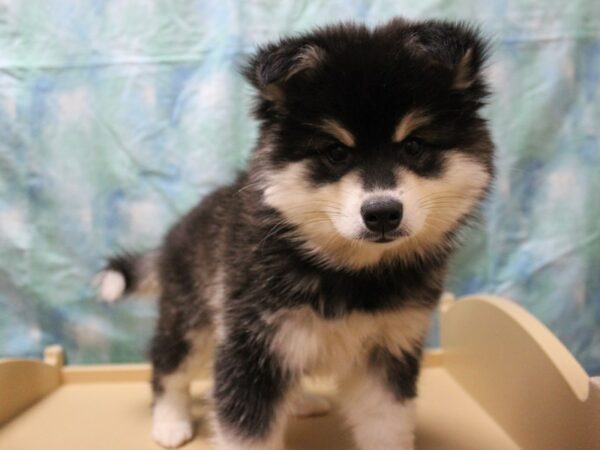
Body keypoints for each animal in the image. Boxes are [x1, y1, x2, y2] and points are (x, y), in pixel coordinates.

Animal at [96, 18, 494, 450]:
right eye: (335, 152)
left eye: (414, 146)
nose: (382, 214)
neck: (348, 270)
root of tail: (179, 228)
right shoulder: (251, 349)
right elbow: (246, 432)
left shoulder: (389, 350)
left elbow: (387, 427)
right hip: (191, 315)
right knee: (168, 364)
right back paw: (170, 420)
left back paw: (299, 402)